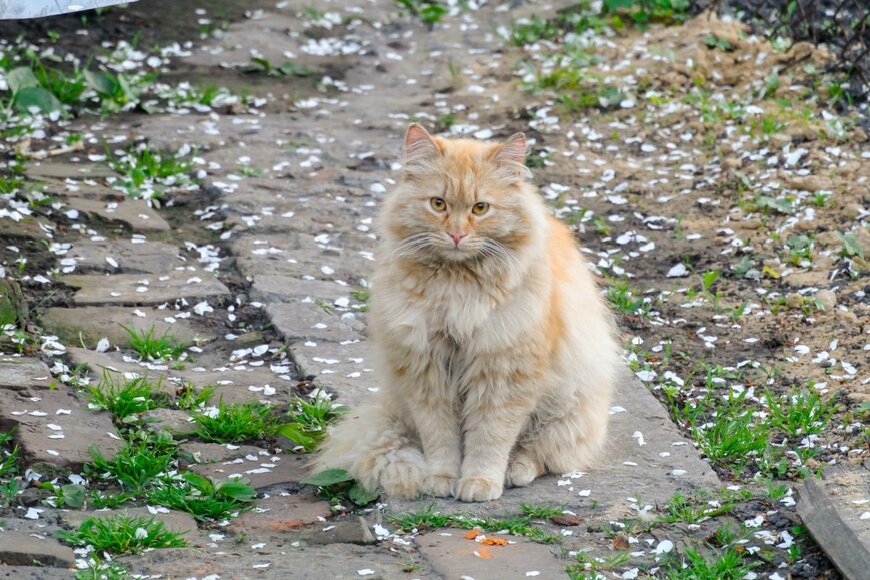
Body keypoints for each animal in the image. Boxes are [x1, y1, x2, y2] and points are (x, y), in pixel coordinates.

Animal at [316, 123, 620, 502]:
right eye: (438, 204)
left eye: (480, 208)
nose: (456, 234)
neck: (457, 288)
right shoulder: (425, 371)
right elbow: (441, 439)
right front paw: (442, 479)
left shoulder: (504, 371)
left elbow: (490, 438)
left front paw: (480, 482)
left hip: (567, 410)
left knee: (540, 454)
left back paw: (515, 472)